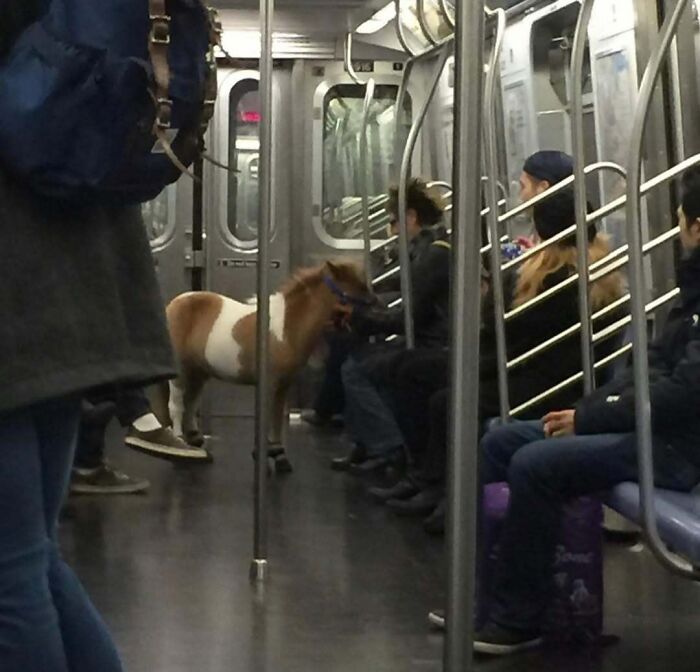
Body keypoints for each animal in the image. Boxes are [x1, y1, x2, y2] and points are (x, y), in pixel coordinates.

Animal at [157, 258, 370, 472]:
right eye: (358, 287)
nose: (375, 310)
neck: (285, 328)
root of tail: (173, 304)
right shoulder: (270, 384)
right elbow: (266, 417)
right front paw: (262, 454)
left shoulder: (284, 385)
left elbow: (276, 418)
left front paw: (279, 456)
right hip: (181, 372)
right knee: (176, 405)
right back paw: (180, 442)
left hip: (199, 371)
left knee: (191, 401)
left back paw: (195, 439)